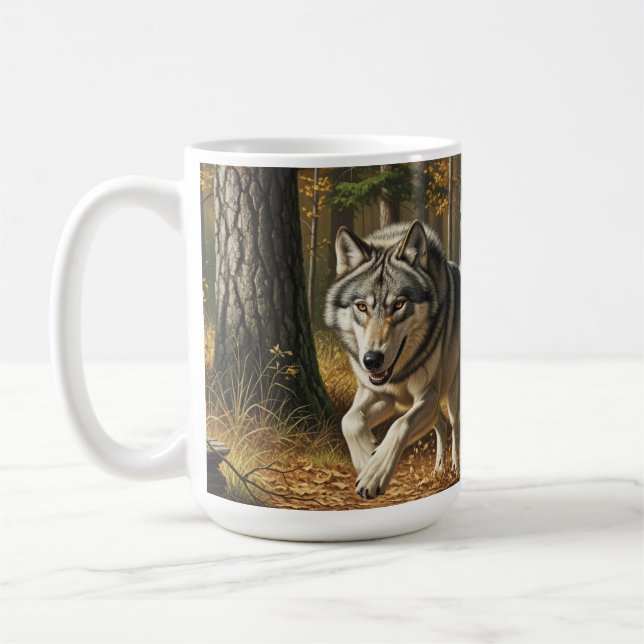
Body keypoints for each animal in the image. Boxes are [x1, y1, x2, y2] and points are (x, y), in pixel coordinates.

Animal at [325, 220, 460, 499]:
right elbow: (349, 420)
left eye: (398, 304)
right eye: (361, 307)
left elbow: (401, 424)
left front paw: (375, 472)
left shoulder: (428, 396)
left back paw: (453, 468)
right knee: (441, 425)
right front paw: (366, 458)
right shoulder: (378, 394)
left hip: (453, 393)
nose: (372, 360)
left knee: (454, 426)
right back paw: (438, 470)